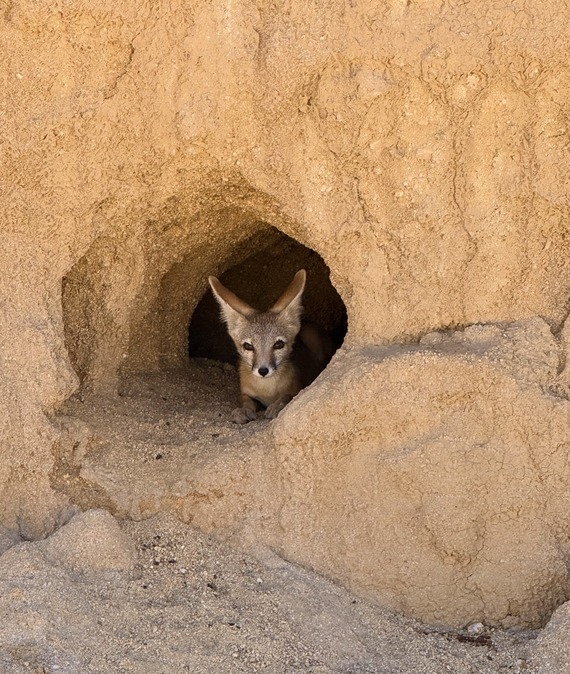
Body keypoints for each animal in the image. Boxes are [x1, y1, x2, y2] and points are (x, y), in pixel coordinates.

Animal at [208, 269, 333, 424]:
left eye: (278, 344)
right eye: (248, 346)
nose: (263, 371)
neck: (267, 390)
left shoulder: (296, 390)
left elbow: (287, 396)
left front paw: (276, 406)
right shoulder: (246, 392)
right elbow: (246, 400)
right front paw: (243, 410)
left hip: (309, 332)